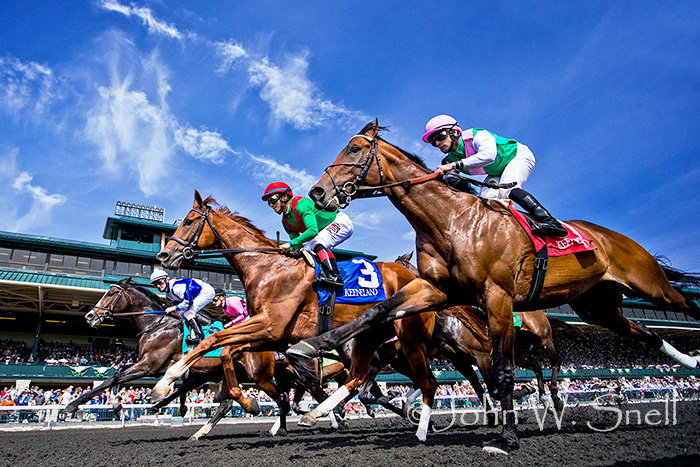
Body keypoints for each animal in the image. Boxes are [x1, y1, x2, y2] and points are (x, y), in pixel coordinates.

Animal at [71, 280, 290, 440]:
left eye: (110, 294)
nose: (89, 316)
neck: (157, 324)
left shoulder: (150, 365)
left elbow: (113, 378)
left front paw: (73, 405)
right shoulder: (152, 365)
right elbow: (118, 372)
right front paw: (117, 406)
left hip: (256, 374)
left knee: (280, 397)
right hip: (230, 373)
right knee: (227, 404)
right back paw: (198, 432)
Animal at [288, 120, 700, 454]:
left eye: (355, 149)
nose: (318, 192)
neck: (451, 221)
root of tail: (614, 237)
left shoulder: (496, 297)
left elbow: (502, 370)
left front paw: (507, 438)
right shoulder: (436, 290)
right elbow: (378, 311)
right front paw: (311, 346)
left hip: (648, 286)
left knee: (685, 306)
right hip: (596, 306)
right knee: (646, 333)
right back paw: (689, 360)